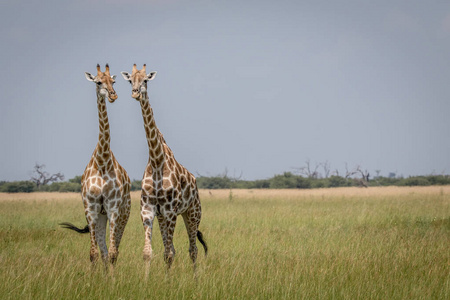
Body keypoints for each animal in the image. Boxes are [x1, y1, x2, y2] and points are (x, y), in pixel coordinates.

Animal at [59, 63, 131, 270]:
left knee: (114, 250)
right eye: (98, 82)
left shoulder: (113, 207)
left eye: (113, 81)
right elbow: (94, 253)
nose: (113, 95)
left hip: (123, 213)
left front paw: (112, 279)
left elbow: (113, 252)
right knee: (104, 251)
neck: (102, 161)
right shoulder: (90, 207)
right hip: (101, 215)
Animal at [122, 64, 208, 270]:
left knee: (193, 250)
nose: (135, 93)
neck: (156, 161)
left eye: (146, 79)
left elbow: (168, 253)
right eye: (130, 80)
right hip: (164, 216)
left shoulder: (170, 211)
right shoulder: (147, 210)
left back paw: (195, 276)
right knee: (175, 250)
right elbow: (149, 252)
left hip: (192, 213)